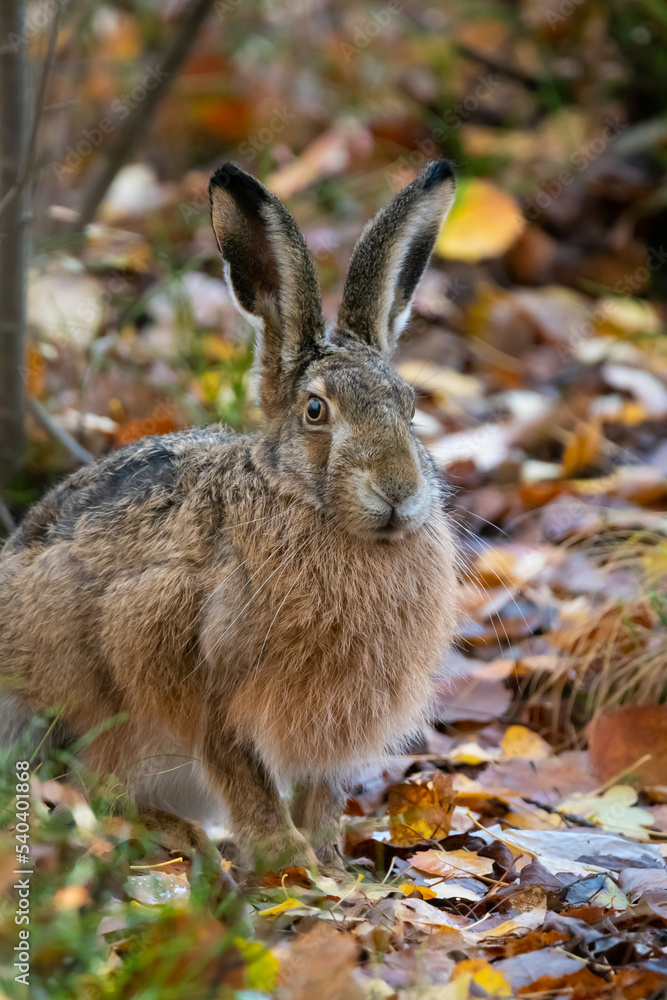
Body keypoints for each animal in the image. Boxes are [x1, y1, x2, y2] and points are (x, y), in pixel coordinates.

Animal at [0, 159, 459, 881]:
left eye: (410, 409)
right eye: (315, 411)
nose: (398, 492)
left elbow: (320, 792)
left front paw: (330, 865)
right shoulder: (202, 682)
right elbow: (246, 780)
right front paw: (293, 867)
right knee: (84, 793)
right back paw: (184, 840)